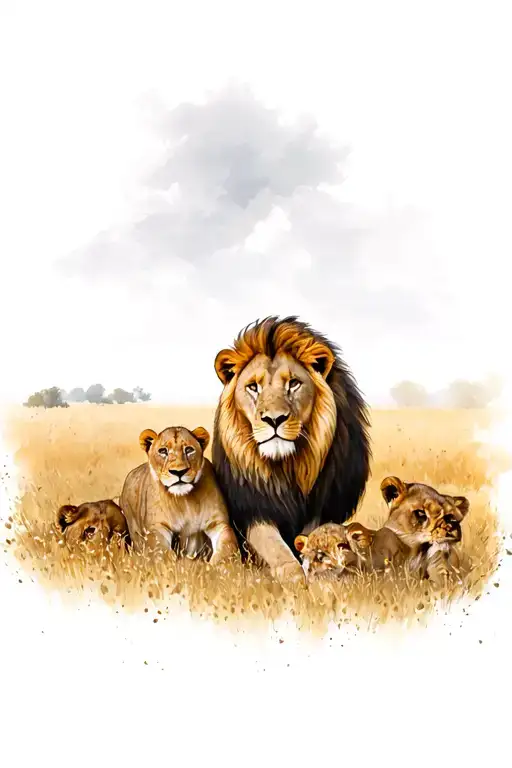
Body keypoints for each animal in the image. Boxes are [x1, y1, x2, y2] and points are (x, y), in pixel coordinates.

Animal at [120, 425, 239, 565]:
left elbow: (228, 544)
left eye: (189, 450)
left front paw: (219, 565)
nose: (179, 472)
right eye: (163, 451)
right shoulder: (157, 526)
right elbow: (160, 550)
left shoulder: (218, 523)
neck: (184, 500)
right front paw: (171, 564)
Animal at [212, 315, 371, 583]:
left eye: (294, 384)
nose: (274, 419)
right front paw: (295, 579)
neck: (286, 466)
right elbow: (276, 550)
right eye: (253, 387)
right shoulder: (254, 509)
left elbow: (316, 536)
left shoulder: (321, 506)